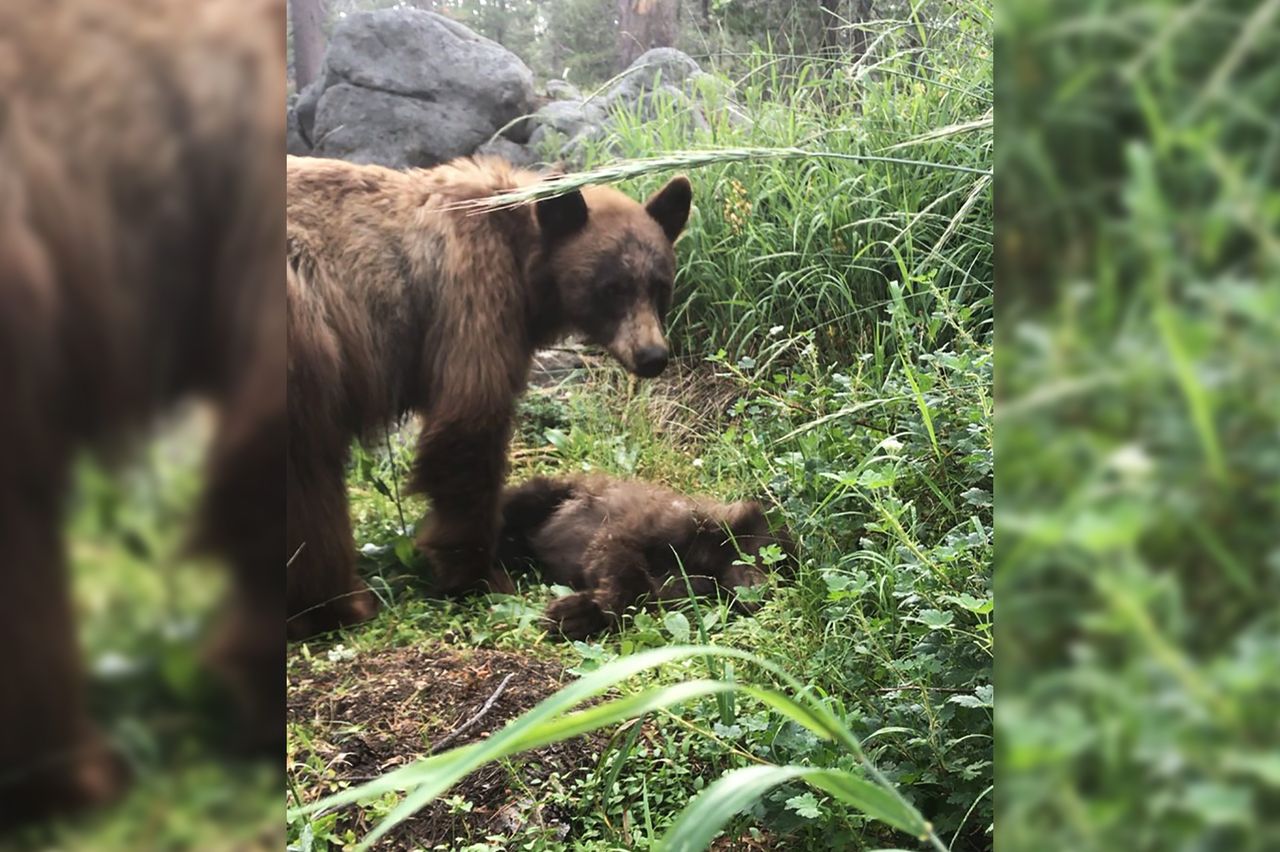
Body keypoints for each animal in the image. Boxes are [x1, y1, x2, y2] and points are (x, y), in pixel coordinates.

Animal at [286, 157, 696, 637]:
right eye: (612, 288)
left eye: (660, 285)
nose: (652, 356)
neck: (523, 253)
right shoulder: (473, 296)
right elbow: (468, 428)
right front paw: (478, 575)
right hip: (306, 341)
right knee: (308, 477)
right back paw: (337, 605)